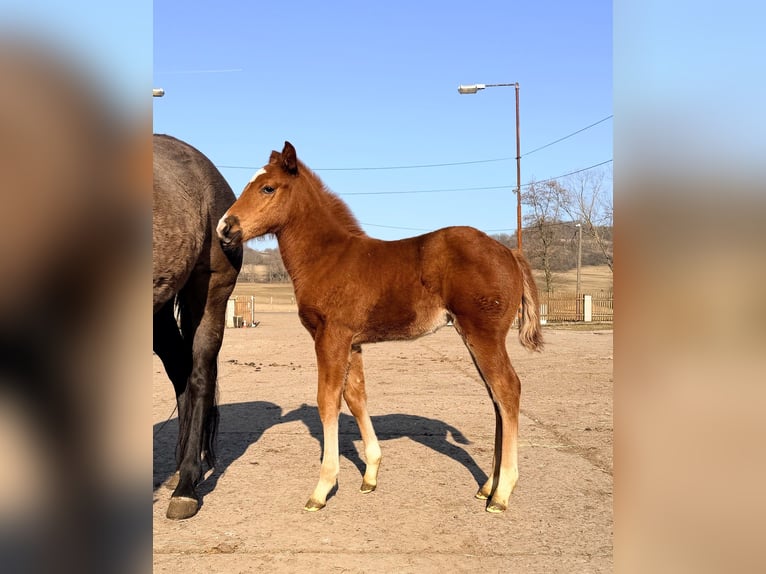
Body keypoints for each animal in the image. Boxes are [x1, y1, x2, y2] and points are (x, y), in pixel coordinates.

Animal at [216, 141, 543, 513]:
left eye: (268, 188)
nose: (224, 228)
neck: (328, 257)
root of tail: (510, 252)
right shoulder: (352, 341)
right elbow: (355, 395)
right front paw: (370, 473)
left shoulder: (331, 336)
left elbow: (327, 399)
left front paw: (323, 487)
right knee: (496, 397)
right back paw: (489, 485)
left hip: (484, 334)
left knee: (507, 389)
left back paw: (502, 493)